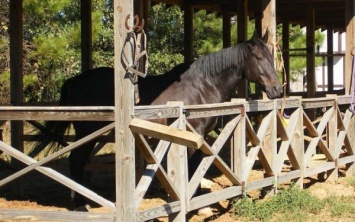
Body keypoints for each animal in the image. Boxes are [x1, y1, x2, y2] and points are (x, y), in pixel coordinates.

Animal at [34, 31, 284, 210]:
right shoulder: (192, 137)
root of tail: (76, 79)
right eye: (258, 58)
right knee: (76, 159)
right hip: (87, 131)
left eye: (272, 58)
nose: (276, 89)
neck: (202, 86)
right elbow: (190, 170)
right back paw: (80, 204)